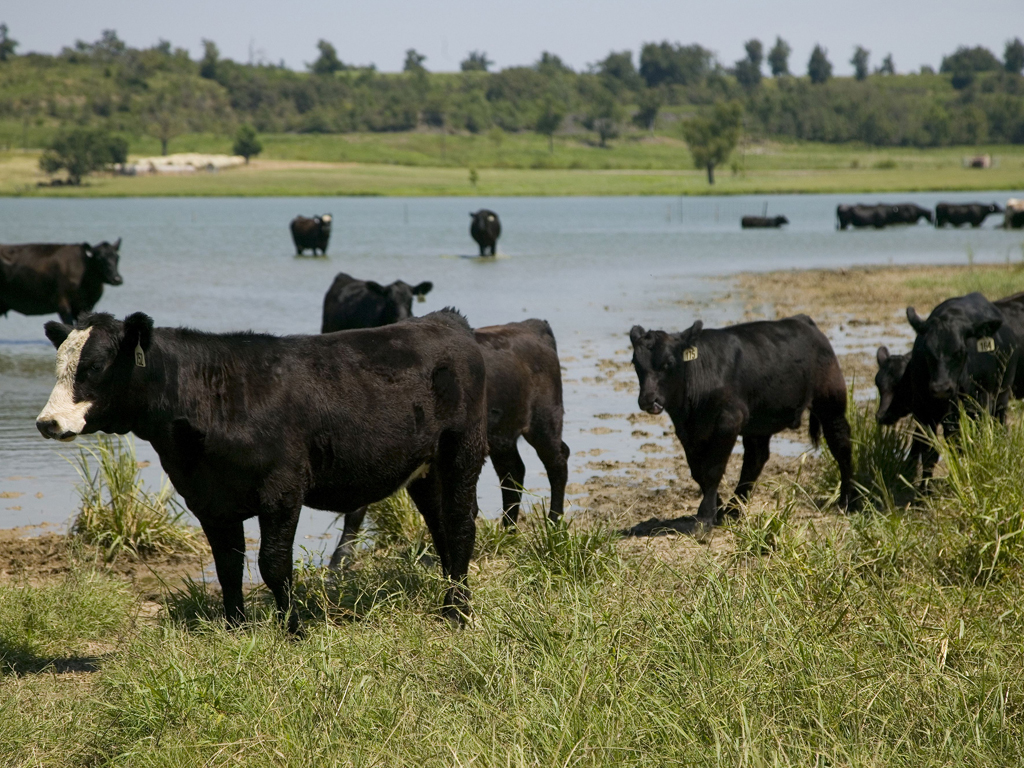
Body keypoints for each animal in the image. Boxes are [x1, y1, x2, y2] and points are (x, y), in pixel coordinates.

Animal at [36, 309, 488, 632]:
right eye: (58, 366)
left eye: (94, 366)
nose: (47, 422)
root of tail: (445, 320)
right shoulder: (209, 499)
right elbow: (228, 566)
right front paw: (235, 628)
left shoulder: (282, 488)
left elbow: (273, 564)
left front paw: (293, 630)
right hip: (425, 469)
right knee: (440, 525)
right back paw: (448, 598)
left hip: (462, 449)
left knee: (461, 523)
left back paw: (457, 613)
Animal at [329, 318, 570, 568]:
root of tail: (532, 325)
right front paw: (340, 560)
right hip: (502, 438)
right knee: (513, 472)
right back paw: (508, 532)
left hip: (544, 422)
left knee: (557, 463)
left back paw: (554, 524)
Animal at [630, 316, 853, 534]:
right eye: (635, 362)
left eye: (668, 362)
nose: (649, 400)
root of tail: (803, 320)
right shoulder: (687, 432)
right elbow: (698, 471)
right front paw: (717, 510)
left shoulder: (728, 422)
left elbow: (713, 470)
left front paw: (704, 518)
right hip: (759, 421)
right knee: (756, 458)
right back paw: (734, 509)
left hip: (831, 402)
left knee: (841, 443)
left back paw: (849, 501)